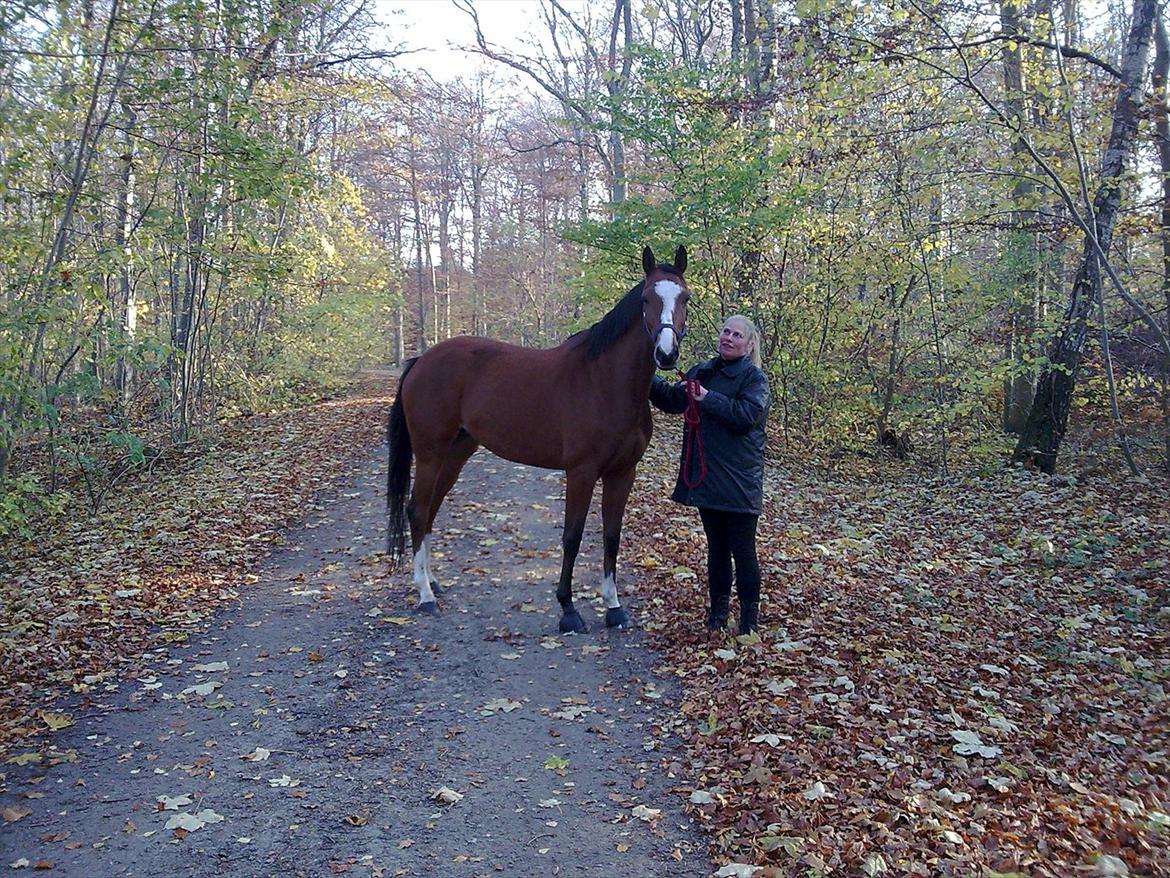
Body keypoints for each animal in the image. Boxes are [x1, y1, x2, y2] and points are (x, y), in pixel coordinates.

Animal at [388, 244, 687, 636]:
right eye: (646, 298)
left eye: (685, 297)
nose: (666, 353)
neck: (606, 383)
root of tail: (422, 360)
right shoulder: (581, 472)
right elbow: (572, 537)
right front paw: (568, 610)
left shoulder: (623, 473)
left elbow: (612, 536)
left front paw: (614, 607)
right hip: (430, 452)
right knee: (418, 510)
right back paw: (424, 594)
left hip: (456, 452)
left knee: (430, 509)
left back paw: (433, 582)